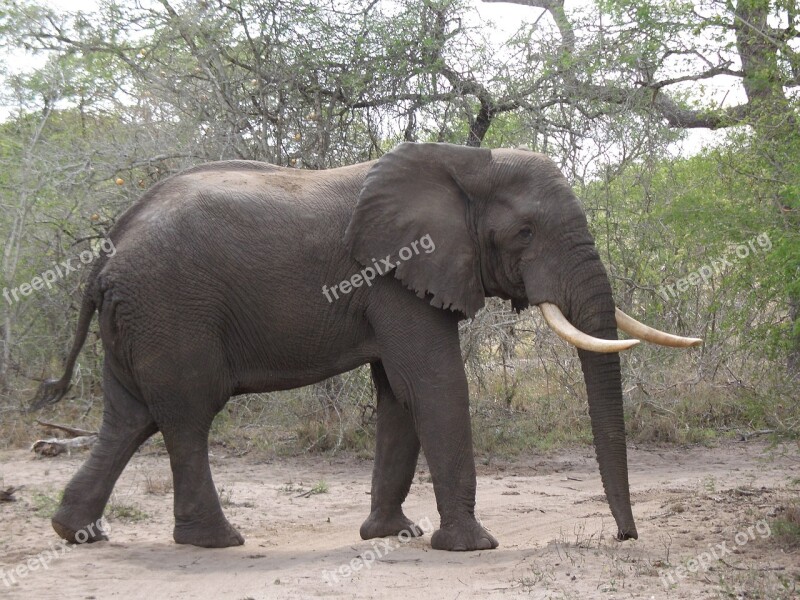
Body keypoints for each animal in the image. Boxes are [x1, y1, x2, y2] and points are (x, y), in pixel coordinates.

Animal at [34, 141, 700, 548]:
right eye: (525, 233)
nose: (623, 537)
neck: (463, 162)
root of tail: (106, 252)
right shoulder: (393, 274)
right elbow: (433, 382)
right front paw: (471, 547)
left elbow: (398, 395)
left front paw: (391, 535)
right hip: (171, 311)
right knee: (187, 416)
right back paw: (217, 541)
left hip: (140, 317)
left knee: (130, 418)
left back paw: (75, 532)